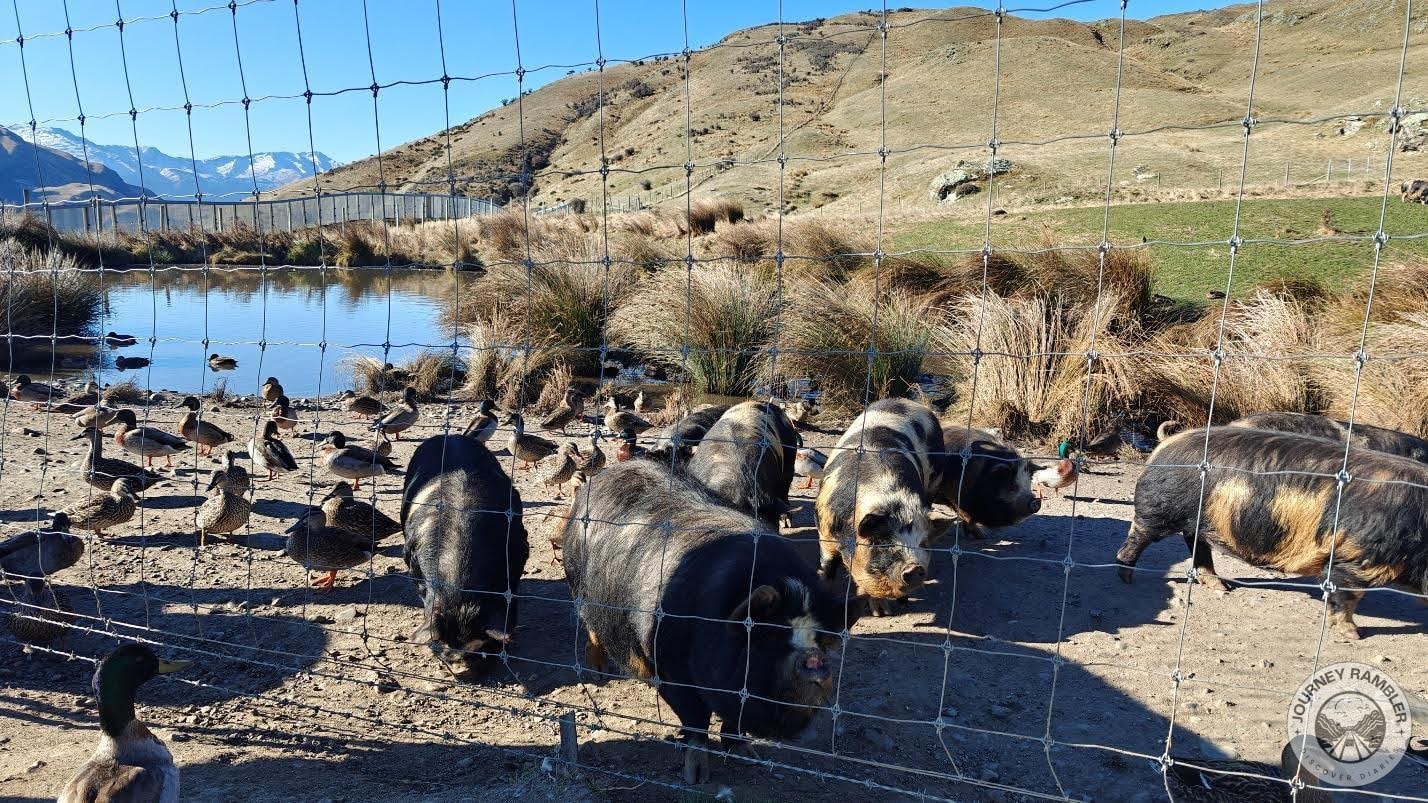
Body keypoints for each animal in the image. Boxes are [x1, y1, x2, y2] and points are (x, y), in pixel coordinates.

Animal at [559, 459, 844, 784]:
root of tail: (599, 480)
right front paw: (696, 777)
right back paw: (598, 672)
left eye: (819, 638)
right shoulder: (671, 671)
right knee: (591, 626)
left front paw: (748, 755)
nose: (813, 659)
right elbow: (696, 721)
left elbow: (733, 724)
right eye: (769, 636)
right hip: (578, 586)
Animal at [815, 398, 946, 616]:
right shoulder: (824, 529)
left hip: (935, 481)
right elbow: (828, 566)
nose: (915, 567)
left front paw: (882, 613)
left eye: (922, 542)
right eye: (882, 542)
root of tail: (907, 401)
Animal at [1116, 426, 1428, 639]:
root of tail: (1167, 442)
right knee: (1139, 535)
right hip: (1159, 508)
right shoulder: (1355, 559)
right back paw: (1126, 577)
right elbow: (1347, 595)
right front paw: (1354, 635)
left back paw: (1222, 587)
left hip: (1199, 520)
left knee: (1196, 544)